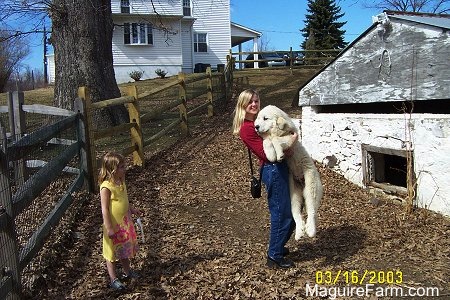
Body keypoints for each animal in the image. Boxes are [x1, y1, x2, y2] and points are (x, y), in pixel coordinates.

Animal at [255, 104, 322, 240]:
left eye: (265, 118)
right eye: (258, 118)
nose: (256, 127)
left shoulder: (291, 138)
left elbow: (276, 140)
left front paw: (279, 154)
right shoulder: (271, 138)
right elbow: (267, 141)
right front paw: (271, 154)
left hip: (311, 187)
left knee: (312, 211)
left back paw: (311, 230)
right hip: (293, 195)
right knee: (297, 215)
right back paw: (299, 232)